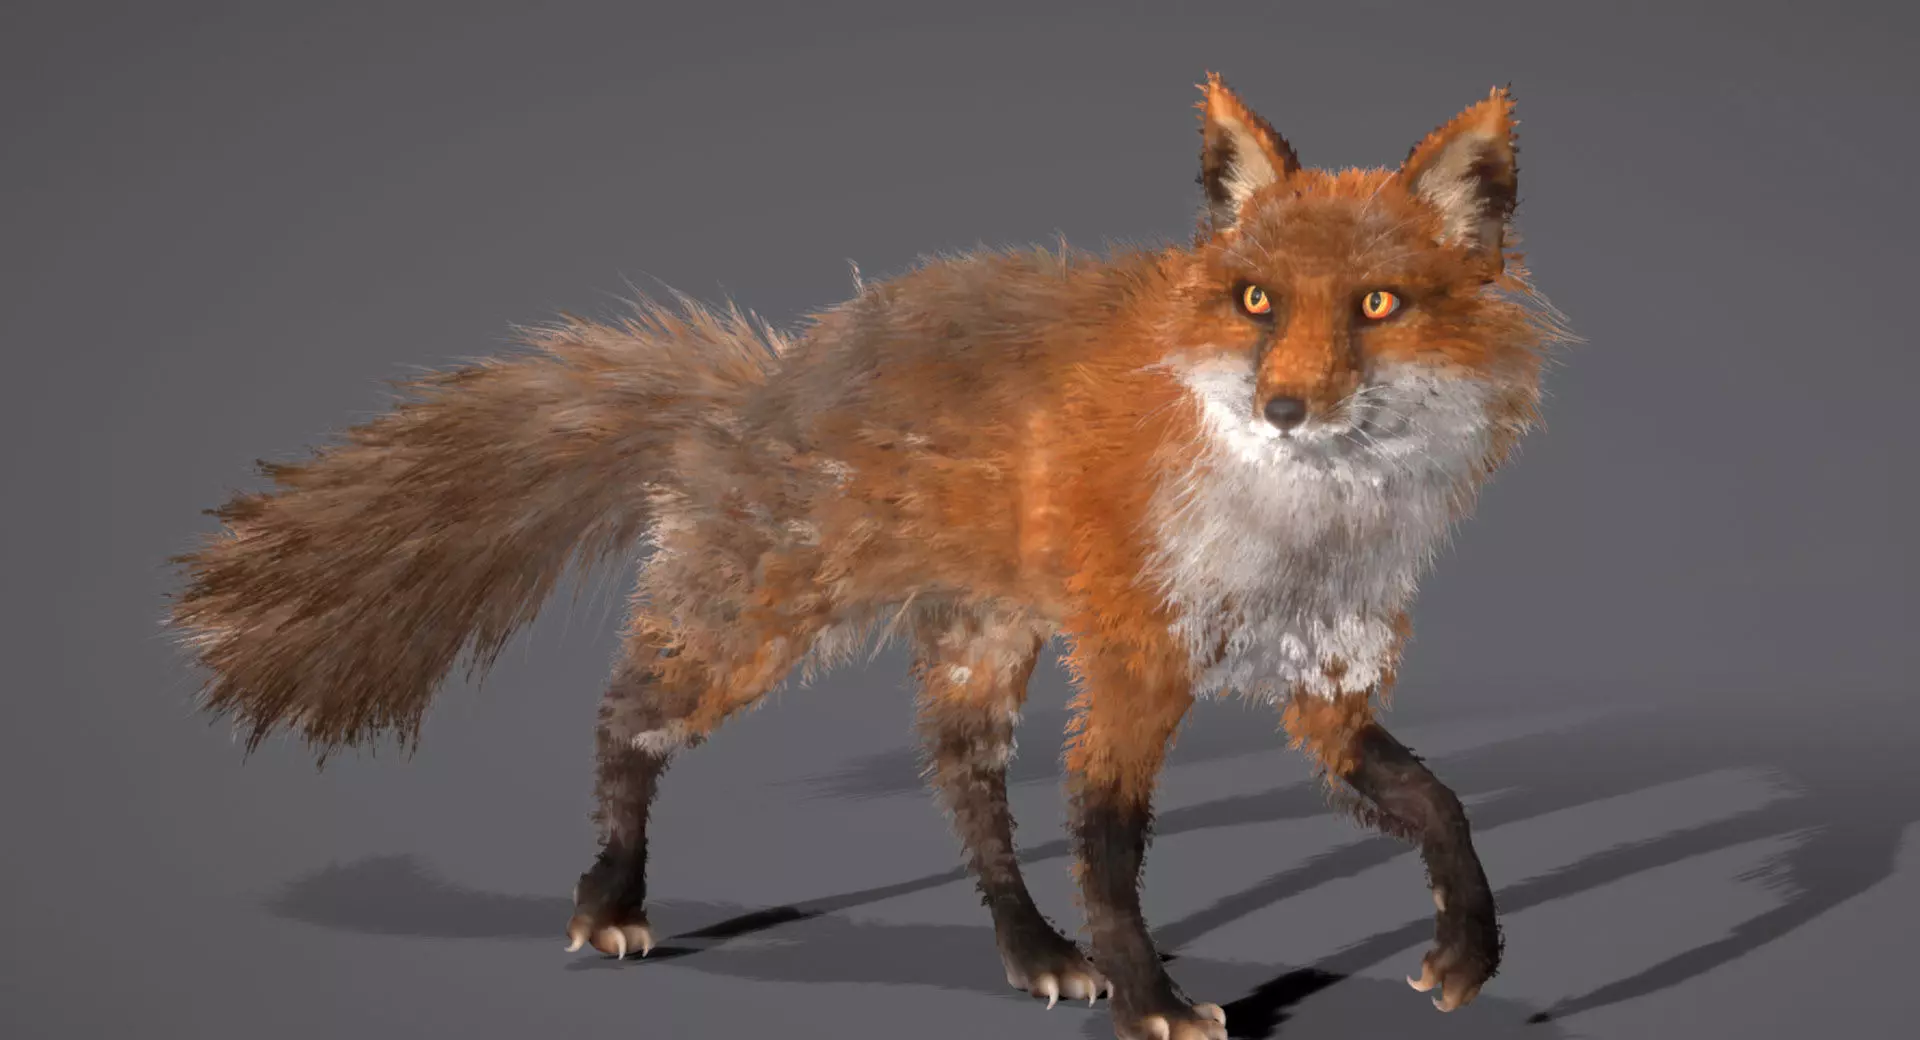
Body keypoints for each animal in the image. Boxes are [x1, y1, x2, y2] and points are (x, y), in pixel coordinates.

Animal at [167, 74, 1575, 1040]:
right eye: (1256, 303)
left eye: (1378, 306)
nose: (1286, 406)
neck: (1299, 535)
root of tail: (762, 383)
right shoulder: (1134, 661)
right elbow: (1110, 842)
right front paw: (1148, 996)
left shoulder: (1325, 680)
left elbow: (1439, 804)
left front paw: (1467, 954)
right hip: (756, 629)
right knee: (627, 716)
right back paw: (609, 896)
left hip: (978, 645)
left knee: (965, 794)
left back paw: (1029, 951)